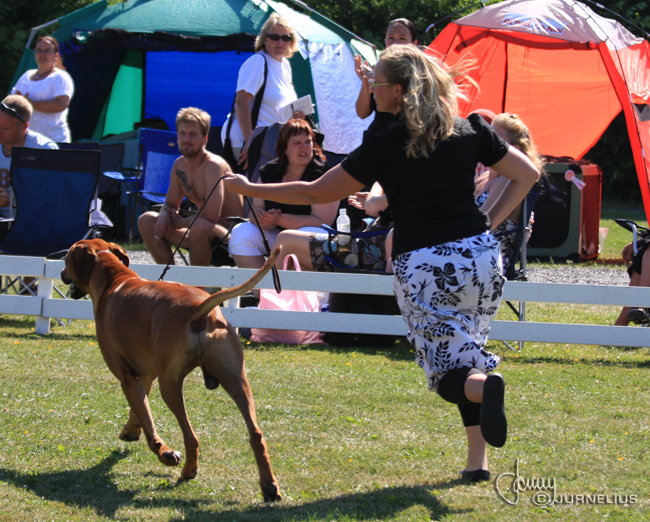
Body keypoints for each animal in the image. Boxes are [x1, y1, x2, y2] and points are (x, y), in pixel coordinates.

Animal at [61, 239, 280, 500]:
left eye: (66, 260)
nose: (61, 274)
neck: (113, 280)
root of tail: (198, 309)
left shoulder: (127, 377)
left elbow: (148, 423)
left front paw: (163, 452)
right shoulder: (144, 376)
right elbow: (139, 411)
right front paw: (130, 430)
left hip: (170, 386)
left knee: (191, 437)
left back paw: (188, 471)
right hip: (237, 379)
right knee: (256, 434)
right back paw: (268, 485)